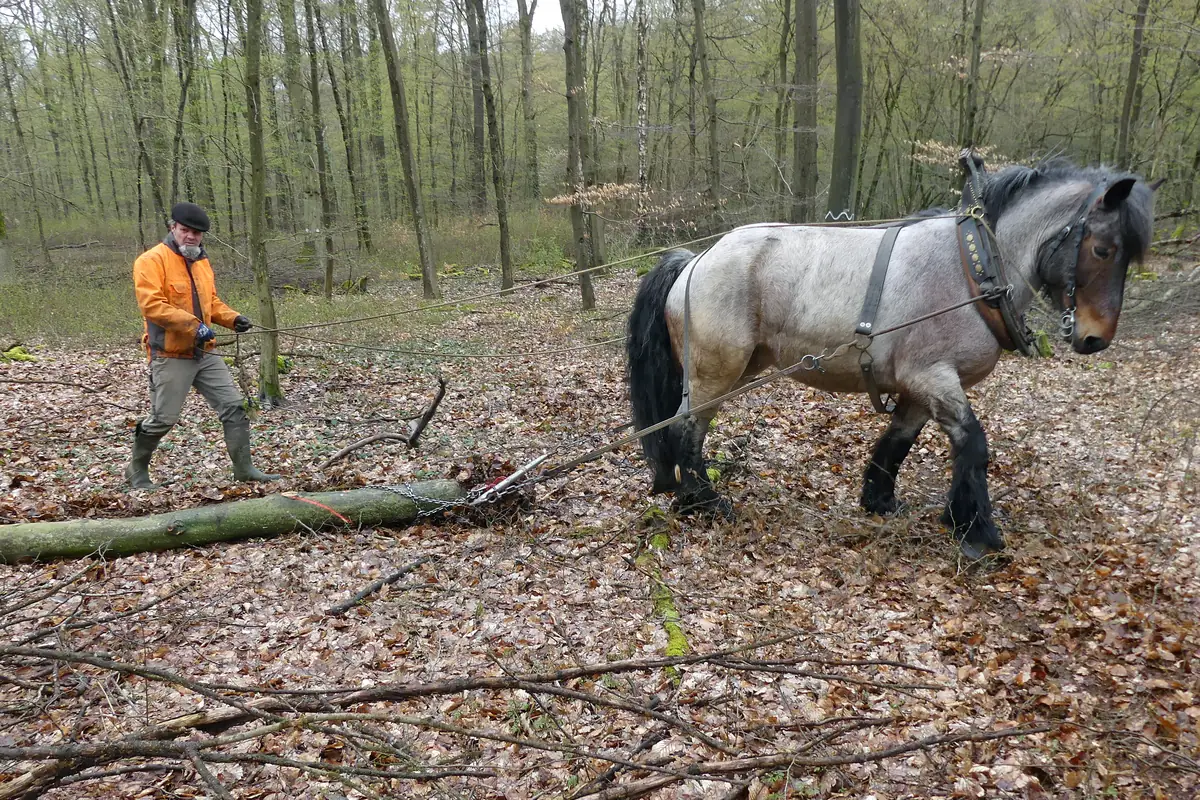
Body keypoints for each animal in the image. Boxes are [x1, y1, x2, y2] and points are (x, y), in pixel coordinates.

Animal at [625, 160, 1158, 559]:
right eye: (1102, 249)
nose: (1095, 339)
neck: (973, 269)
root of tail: (695, 260)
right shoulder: (934, 377)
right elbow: (974, 444)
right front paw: (977, 531)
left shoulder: (919, 386)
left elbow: (898, 442)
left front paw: (882, 502)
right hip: (716, 371)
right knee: (687, 429)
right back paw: (702, 503)